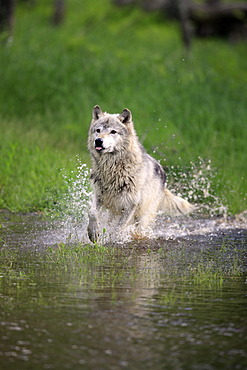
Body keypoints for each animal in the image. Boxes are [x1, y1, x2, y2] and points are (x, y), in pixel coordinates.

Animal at [88, 105, 194, 243]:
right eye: (98, 130)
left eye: (113, 132)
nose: (98, 141)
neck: (113, 169)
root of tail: (163, 175)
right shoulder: (99, 197)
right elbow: (92, 213)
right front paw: (93, 233)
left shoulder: (130, 206)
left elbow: (117, 228)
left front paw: (111, 239)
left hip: (143, 217)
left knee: (139, 230)